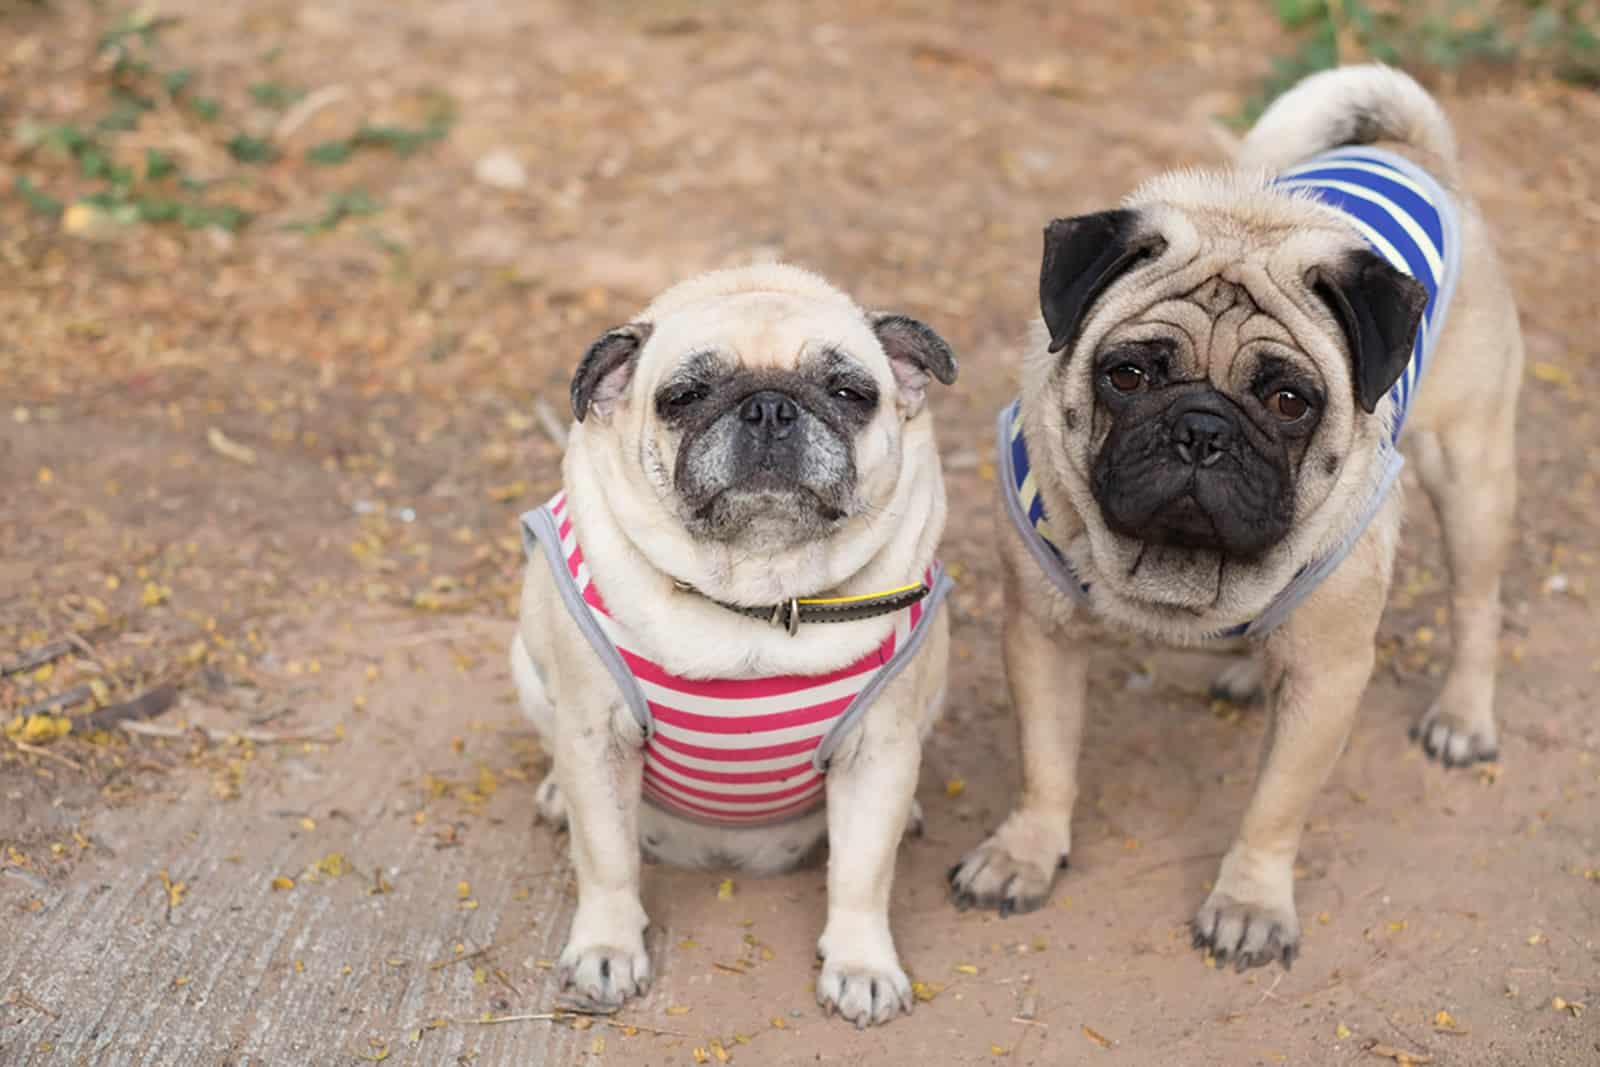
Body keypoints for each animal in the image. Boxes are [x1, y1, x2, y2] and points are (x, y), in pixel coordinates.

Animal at [512, 265, 953, 1023]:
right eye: (683, 397)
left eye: (851, 393)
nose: (770, 407)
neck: (759, 591)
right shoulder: (596, 740)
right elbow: (606, 859)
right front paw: (607, 948)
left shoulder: (881, 751)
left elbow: (863, 872)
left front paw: (861, 963)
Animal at [947, 64, 1523, 966]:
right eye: (1128, 375)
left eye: (1290, 401)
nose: (1202, 429)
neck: (1179, 568)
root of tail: (1416, 150)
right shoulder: (1042, 636)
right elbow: (1046, 763)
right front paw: (1025, 853)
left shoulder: (1329, 676)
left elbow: (1275, 806)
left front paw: (1249, 901)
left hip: (1472, 473)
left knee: (1475, 602)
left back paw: (1462, 717)